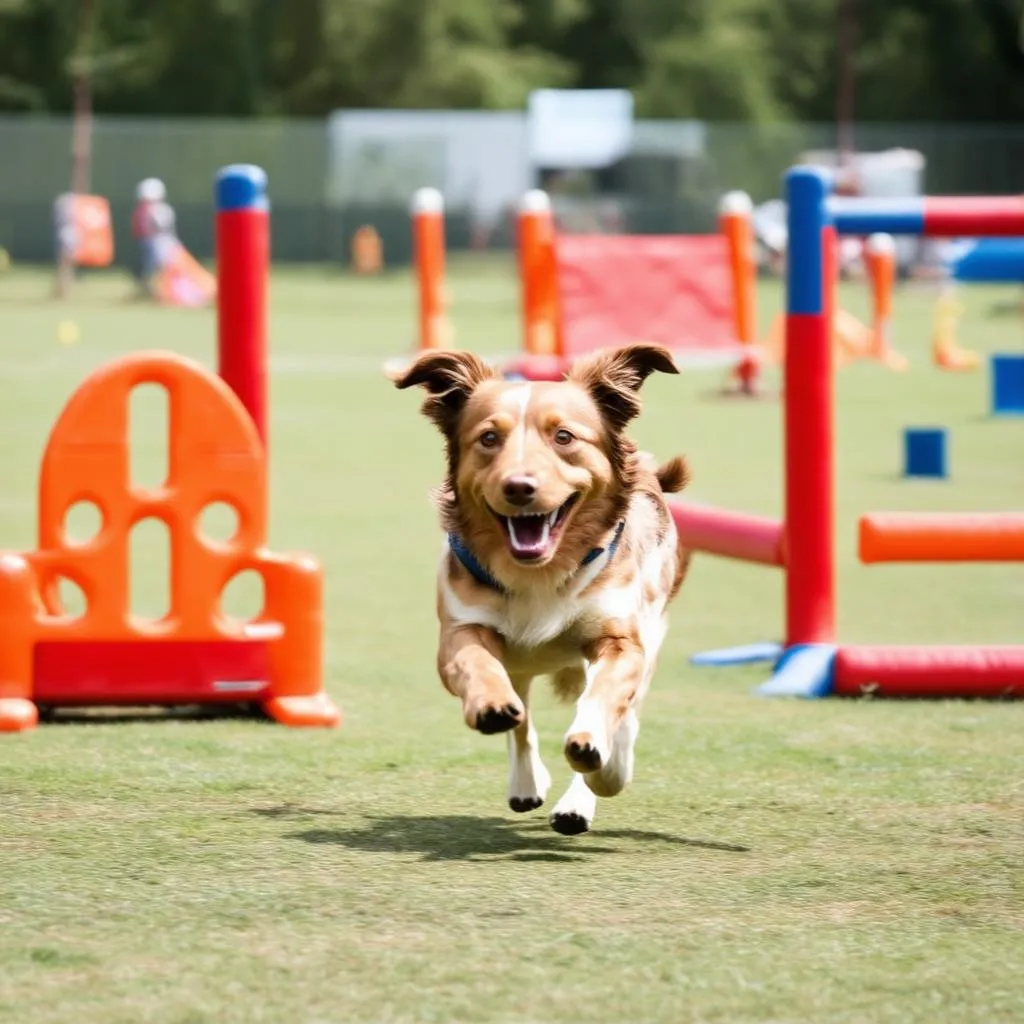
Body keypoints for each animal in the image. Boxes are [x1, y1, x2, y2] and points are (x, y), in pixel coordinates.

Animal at [389, 344, 688, 831]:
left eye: (564, 437)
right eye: (489, 438)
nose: (518, 486)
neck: (540, 574)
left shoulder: (620, 637)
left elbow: (606, 696)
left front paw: (596, 752)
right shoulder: (461, 626)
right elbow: (476, 666)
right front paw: (492, 705)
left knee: (625, 711)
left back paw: (585, 793)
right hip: (520, 663)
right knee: (523, 719)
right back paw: (526, 780)